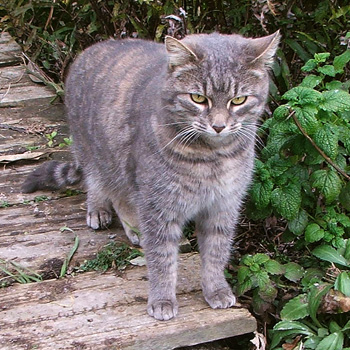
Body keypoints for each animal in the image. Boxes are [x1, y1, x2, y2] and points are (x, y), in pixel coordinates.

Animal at [23, 31, 280, 322]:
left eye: (238, 100)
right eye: (198, 98)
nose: (218, 125)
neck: (212, 157)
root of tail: (92, 48)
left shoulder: (223, 206)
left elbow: (216, 252)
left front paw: (215, 288)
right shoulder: (158, 206)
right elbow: (161, 258)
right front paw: (162, 299)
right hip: (101, 156)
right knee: (102, 184)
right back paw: (103, 211)